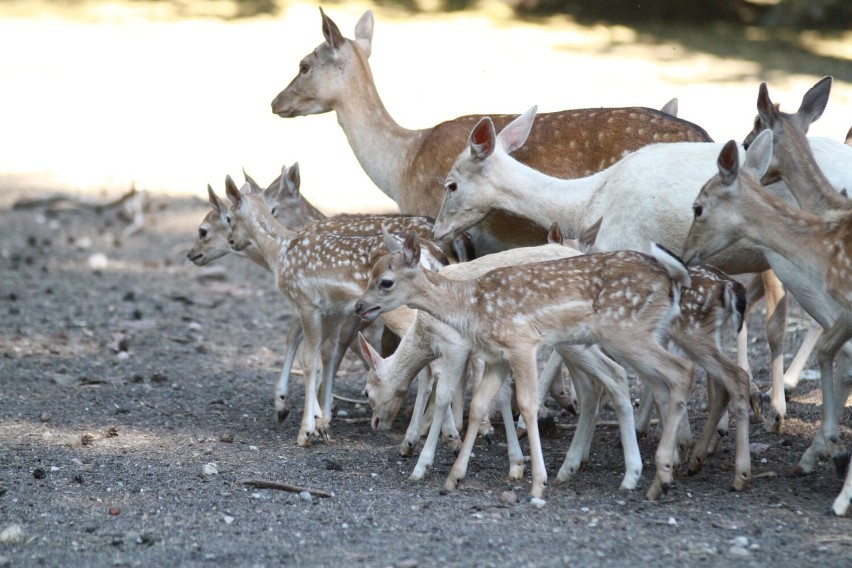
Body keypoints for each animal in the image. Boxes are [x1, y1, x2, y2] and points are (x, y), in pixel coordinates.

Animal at [356, 233, 704, 500]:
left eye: (385, 282)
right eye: (369, 275)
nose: (359, 305)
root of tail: (673, 279)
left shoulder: (508, 344)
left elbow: (512, 402)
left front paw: (534, 481)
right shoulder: (496, 356)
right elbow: (480, 403)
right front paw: (456, 475)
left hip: (621, 334)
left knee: (680, 371)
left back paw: (660, 473)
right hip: (599, 341)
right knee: (622, 381)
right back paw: (630, 473)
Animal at [436, 105, 852, 434]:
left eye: (451, 184)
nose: (439, 230)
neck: (586, 202)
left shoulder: (619, 251)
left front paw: (539, 414)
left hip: (802, 264)